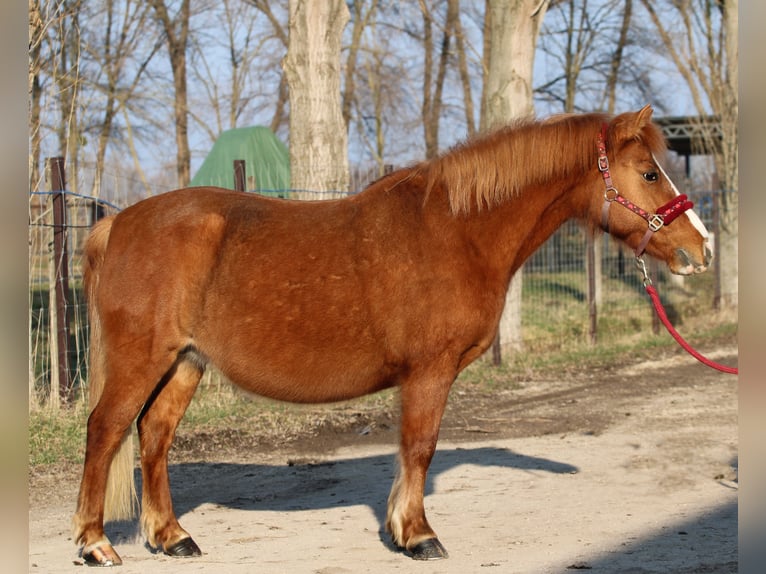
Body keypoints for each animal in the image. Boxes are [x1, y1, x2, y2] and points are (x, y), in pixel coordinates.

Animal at [73, 107, 712, 568]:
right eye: (649, 173)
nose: (700, 249)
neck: (457, 229)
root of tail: (117, 223)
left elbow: (413, 450)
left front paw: (405, 529)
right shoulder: (430, 370)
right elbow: (420, 446)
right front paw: (418, 534)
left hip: (184, 362)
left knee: (154, 436)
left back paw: (172, 536)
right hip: (141, 361)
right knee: (105, 432)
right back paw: (94, 544)